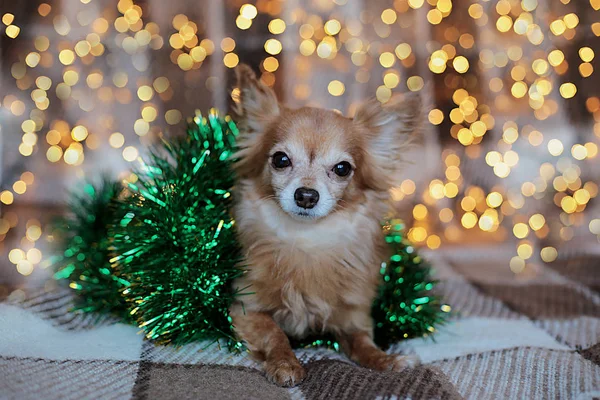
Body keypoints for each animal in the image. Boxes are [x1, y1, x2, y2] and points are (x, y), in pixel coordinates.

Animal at [229, 64, 422, 386]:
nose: (306, 195)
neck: (309, 241)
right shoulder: (244, 308)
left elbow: (364, 344)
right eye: (281, 160)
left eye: (342, 168)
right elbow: (274, 333)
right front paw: (285, 363)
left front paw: (387, 360)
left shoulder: (353, 318)